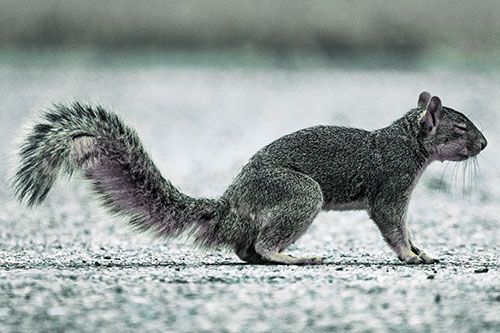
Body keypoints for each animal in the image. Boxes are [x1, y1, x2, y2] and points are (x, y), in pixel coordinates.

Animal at [12, 91, 488, 264]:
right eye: (460, 126)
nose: (484, 144)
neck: (407, 142)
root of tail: (231, 206)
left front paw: (421, 250)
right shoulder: (391, 185)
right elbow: (393, 225)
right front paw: (411, 256)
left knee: (246, 250)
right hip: (300, 194)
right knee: (261, 245)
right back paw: (292, 258)